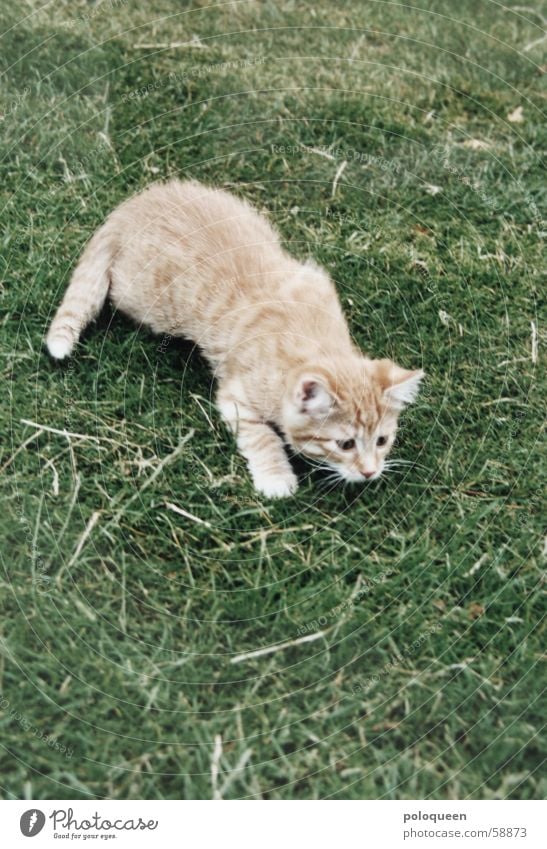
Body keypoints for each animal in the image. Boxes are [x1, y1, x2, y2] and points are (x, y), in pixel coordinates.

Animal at [47, 179, 424, 496]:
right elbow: (260, 436)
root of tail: (131, 208)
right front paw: (276, 477)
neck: (312, 339)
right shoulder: (236, 397)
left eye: (382, 440)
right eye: (345, 444)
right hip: (142, 300)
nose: (370, 472)